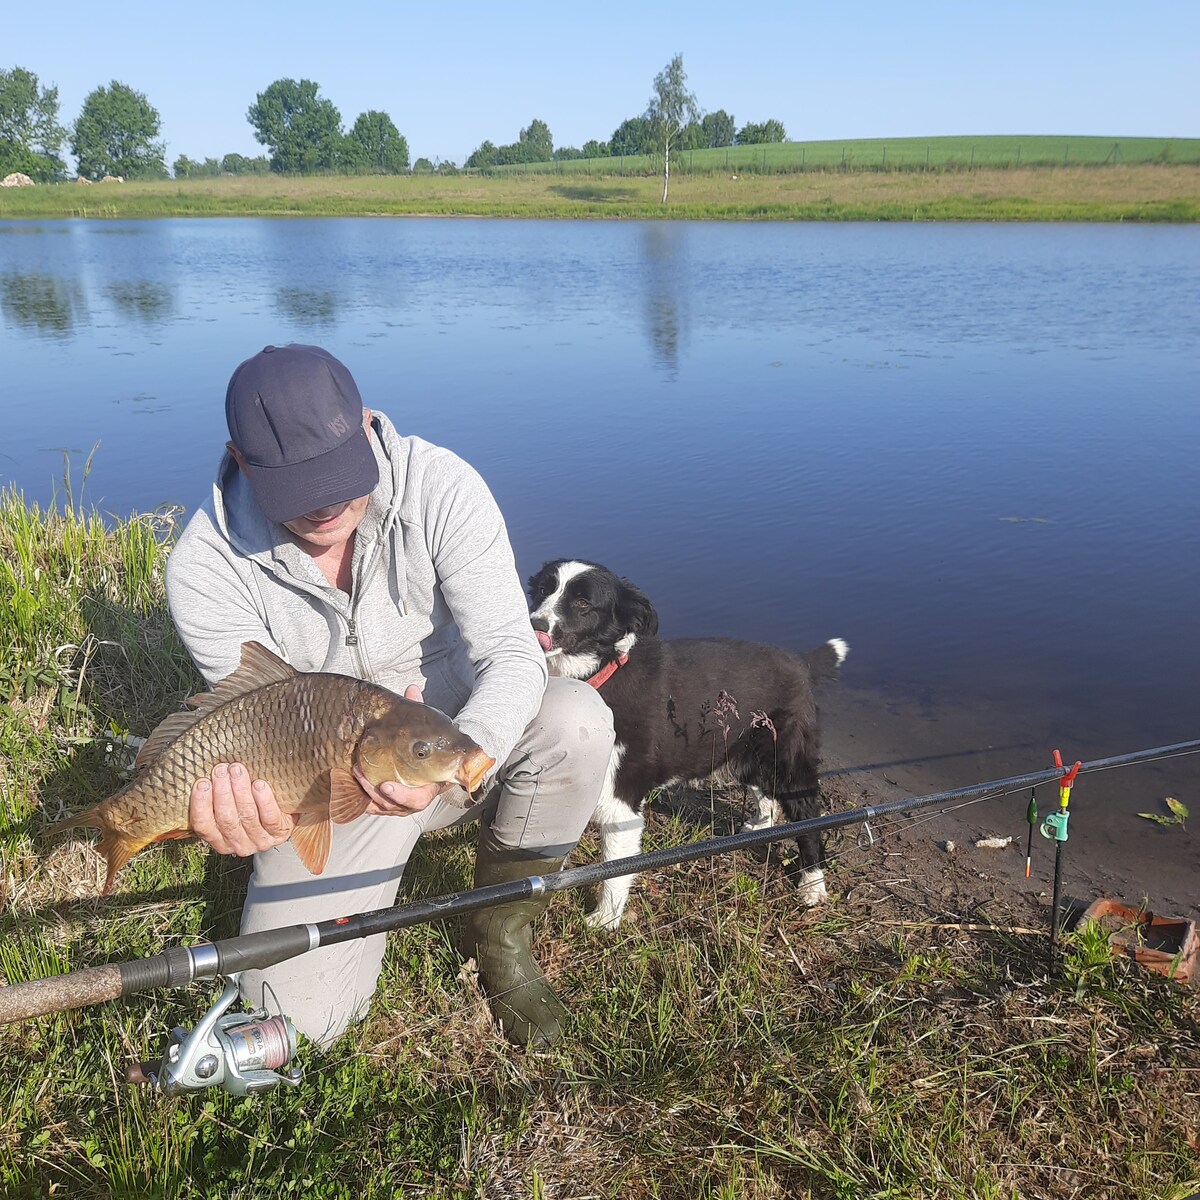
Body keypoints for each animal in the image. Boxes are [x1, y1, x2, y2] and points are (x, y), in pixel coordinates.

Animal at [530, 556, 849, 931]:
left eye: (582, 603)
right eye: (542, 590)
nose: (534, 624)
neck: (597, 674)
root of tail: (800, 661)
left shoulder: (620, 798)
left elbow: (613, 870)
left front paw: (605, 919)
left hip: (787, 758)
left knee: (808, 817)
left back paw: (813, 884)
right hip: (745, 749)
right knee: (765, 792)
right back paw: (760, 826)